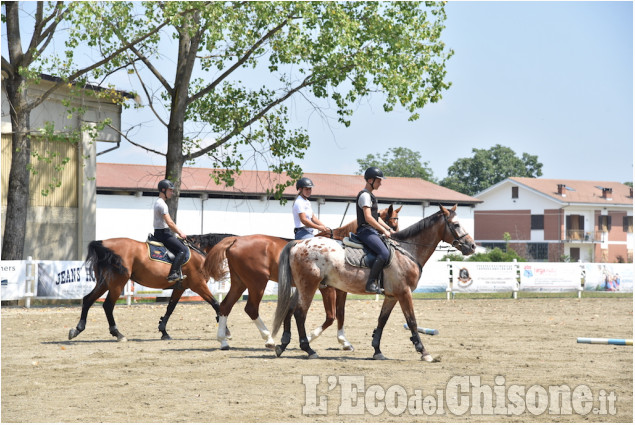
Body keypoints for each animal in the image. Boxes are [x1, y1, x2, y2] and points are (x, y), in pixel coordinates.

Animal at [68, 235, 231, 342]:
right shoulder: (198, 284)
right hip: (117, 284)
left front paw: (163, 331)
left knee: (88, 300)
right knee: (108, 305)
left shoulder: (181, 287)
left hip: (104, 283)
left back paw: (77, 329)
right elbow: (216, 304)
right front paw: (226, 330)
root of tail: (103, 244)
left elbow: (170, 308)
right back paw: (118, 334)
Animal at [204, 205, 402, 348]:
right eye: (392, 223)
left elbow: (341, 313)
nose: (395, 237)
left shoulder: (341, 289)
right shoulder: (328, 289)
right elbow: (331, 316)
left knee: (225, 306)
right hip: (257, 283)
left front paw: (344, 341)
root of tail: (236, 239)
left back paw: (223, 341)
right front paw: (311, 337)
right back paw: (268, 339)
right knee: (251, 308)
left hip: (240, 282)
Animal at [274, 205, 476, 362]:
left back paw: (282, 345)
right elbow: (411, 321)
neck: (407, 251)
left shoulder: (392, 295)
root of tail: (299, 243)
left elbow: (382, 320)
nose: (472, 246)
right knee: (300, 313)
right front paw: (424, 352)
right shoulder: (404, 293)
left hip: (302, 287)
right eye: (456, 224)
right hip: (309, 286)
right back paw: (308, 348)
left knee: (290, 310)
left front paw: (377, 350)